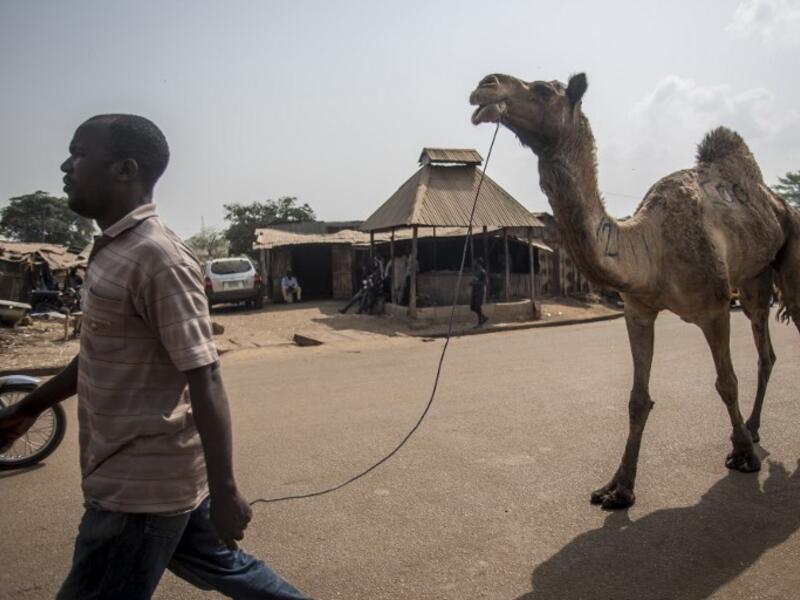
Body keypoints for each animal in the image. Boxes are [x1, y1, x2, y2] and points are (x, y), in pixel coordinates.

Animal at [469, 72, 800, 509]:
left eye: (542, 89)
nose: (485, 84)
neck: (651, 247)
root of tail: (779, 203)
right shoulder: (638, 310)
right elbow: (637, 399)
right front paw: (618, 488)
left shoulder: (713, 308)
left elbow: (726, 382)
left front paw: (744, 454)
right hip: (753, 279)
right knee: (765, 348)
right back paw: (754, 425)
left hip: (789, 253)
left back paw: (750, 435)